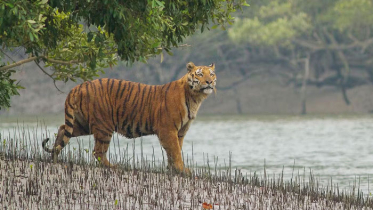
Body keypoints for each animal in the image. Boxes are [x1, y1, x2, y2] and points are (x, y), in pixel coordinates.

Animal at [41, 61, 215, 173]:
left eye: (212, 74)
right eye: (200, 74)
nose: (209, 82)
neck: (195, 98)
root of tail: (78, 86)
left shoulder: (180, 132)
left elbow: (175, 150)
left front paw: (173, 169)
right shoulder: (168, 130)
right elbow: (175, 151)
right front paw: (182, 170)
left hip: (83, 124)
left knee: (62, 129)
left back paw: (54, 158)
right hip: (104, 126)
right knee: (98, 151)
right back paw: (112, 167)